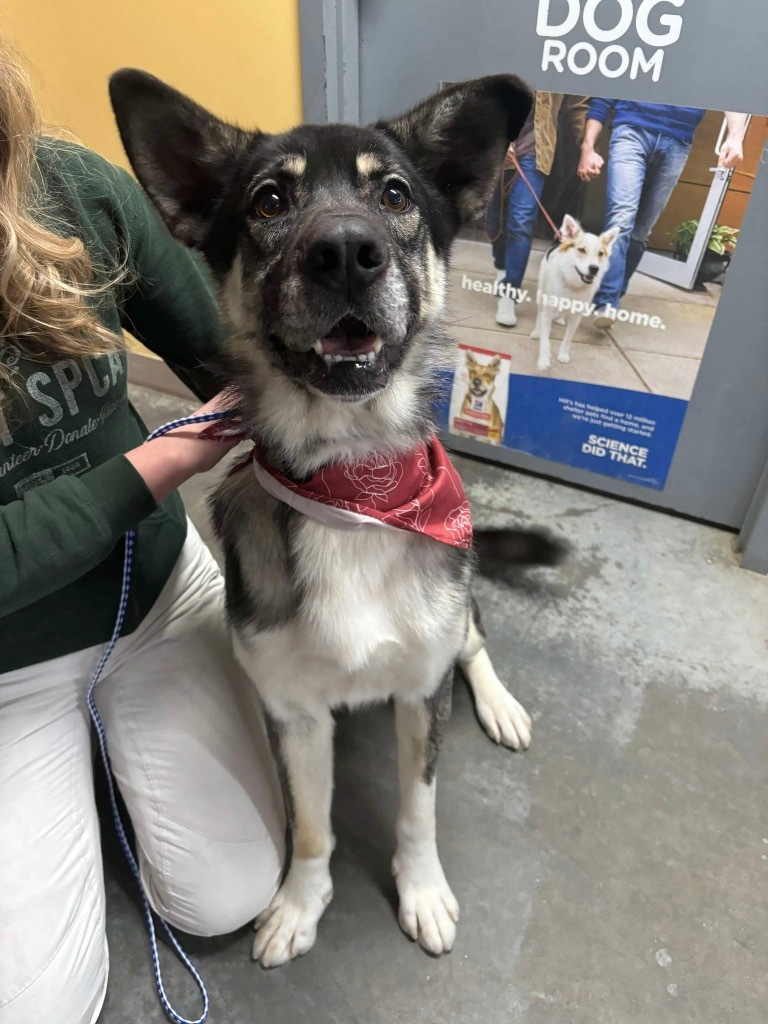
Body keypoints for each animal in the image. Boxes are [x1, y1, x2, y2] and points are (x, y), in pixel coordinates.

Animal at [109, 68, 565, 962]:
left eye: (393, 194)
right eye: (267, 200)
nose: (348, 253)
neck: (353, 484)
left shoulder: (421, 693)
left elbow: (418, 810)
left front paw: (421, 891)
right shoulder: (294, 714)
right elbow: (312, 827)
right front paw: (300, 903)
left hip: (458, 600)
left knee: (475, 639)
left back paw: (498, 703)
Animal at [532, 216, 622, 372]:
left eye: (600, 254)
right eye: (581, 249)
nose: (594, 269)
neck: (573, 284)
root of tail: (558, 242)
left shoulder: (576, 317)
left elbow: (568, 338)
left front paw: (563, 354)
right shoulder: (548, 310)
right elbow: (545, 339)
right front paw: (543, 360)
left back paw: (560, 319)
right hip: (541, 292)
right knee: (539, 313)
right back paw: (537, 331)